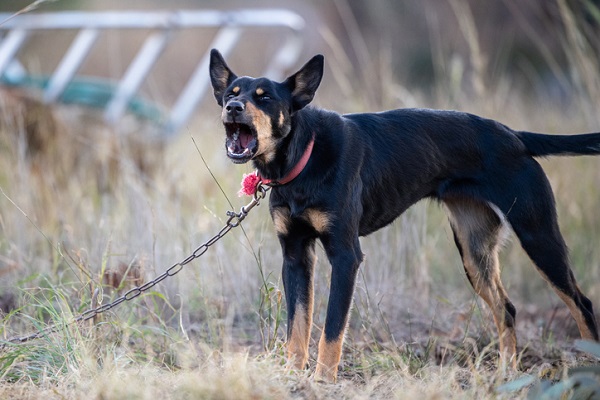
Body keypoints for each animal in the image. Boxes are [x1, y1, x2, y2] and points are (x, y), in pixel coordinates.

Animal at [207, 49, 600, 382]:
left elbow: (331, 329)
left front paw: (322, 381)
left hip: (538, 235)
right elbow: (297, 327)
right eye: (230, 94)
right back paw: (506, 375)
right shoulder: (295, 255)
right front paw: (291, 376)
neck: (303, 158)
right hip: (474, 252)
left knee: (581, 303)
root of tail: (515, 137)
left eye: (264, 97)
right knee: (507, 309)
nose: (233, 108)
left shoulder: (346, 256)